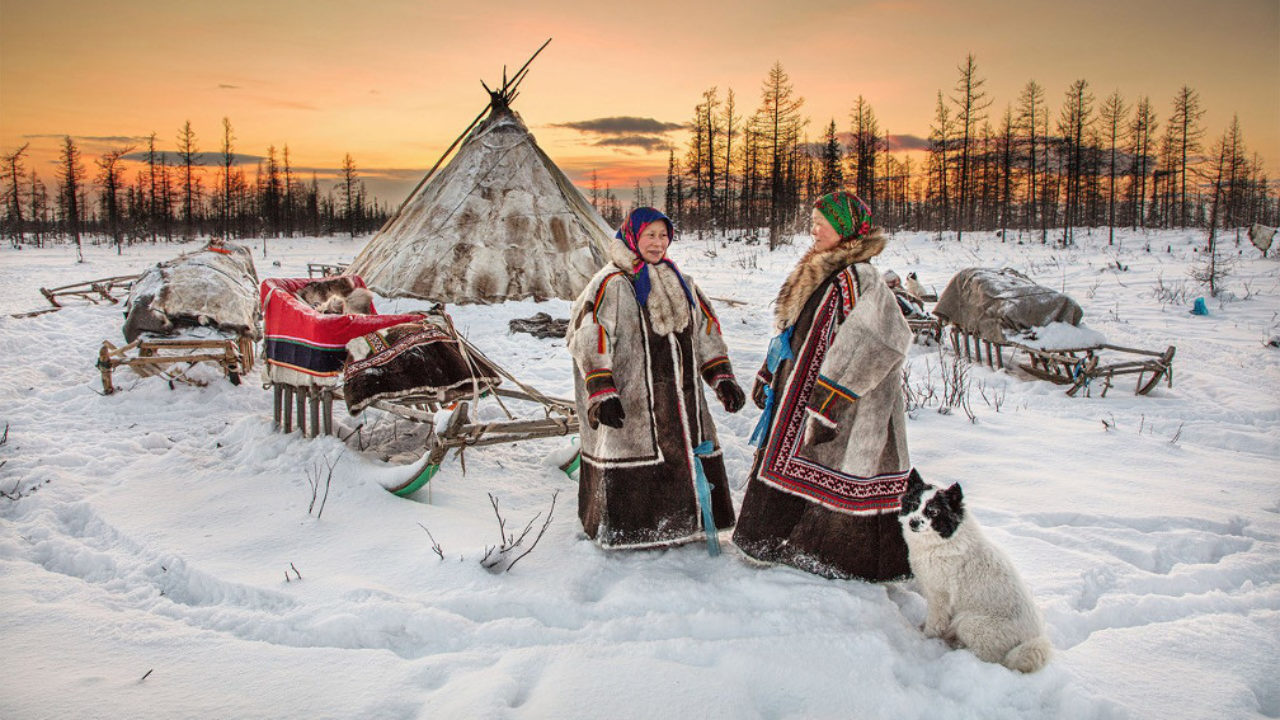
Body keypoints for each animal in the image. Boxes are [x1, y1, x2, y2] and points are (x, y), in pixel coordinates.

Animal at [901, 468, 1049, 671]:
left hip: (969, 622)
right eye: (914, 504)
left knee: (990, 657)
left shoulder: (939, 596)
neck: (944, 542)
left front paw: (925, 638)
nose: (913, 523)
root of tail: (1034, 638)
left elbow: (935, 623)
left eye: (933, 511)